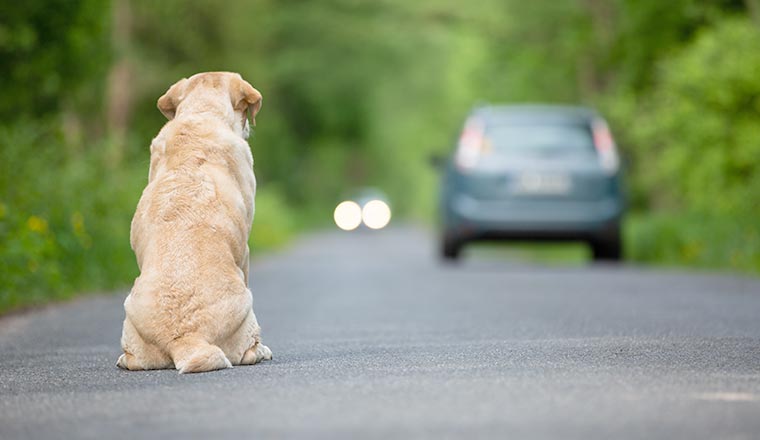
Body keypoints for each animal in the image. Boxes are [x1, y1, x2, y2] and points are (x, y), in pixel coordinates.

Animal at [117, 73, 272, 374]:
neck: (202, 113)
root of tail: (186, 337)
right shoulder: (245, 251)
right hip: (246, 305)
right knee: (248, 350)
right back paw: (261, 351)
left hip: (131, 312)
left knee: (132, 359)